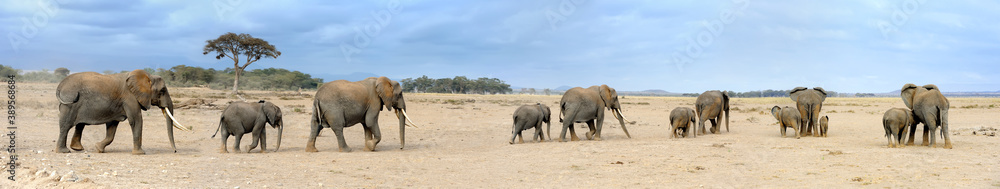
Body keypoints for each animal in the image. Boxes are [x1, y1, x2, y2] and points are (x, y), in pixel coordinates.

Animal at [55, 70, 192, 155]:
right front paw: (140, 153)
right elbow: (136, 120)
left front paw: (98, 149)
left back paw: (77, 149)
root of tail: (60, 84)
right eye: (162, 90)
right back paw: (64, 151)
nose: (175, 151)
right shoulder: (129, 97)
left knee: (79, 125)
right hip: (70, 103)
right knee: (66, 126)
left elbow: (112, 126)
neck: (147, 76)